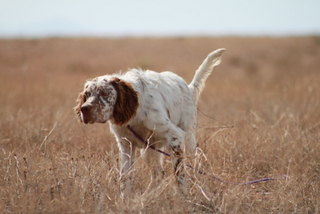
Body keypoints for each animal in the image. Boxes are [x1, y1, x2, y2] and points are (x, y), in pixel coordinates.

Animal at [74, 48, 225, 196]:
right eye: (87, 94)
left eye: (104, 93)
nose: (84, 109)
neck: (135, 114)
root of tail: (188, 87)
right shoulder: (126, 145)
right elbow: (125, 178)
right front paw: (126, 200)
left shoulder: (175, 137)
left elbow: (179, 177)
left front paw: (184, 199)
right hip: (149, 150)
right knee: (158, 174)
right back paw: (146, 197)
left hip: (188, 140)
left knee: (195, 167)